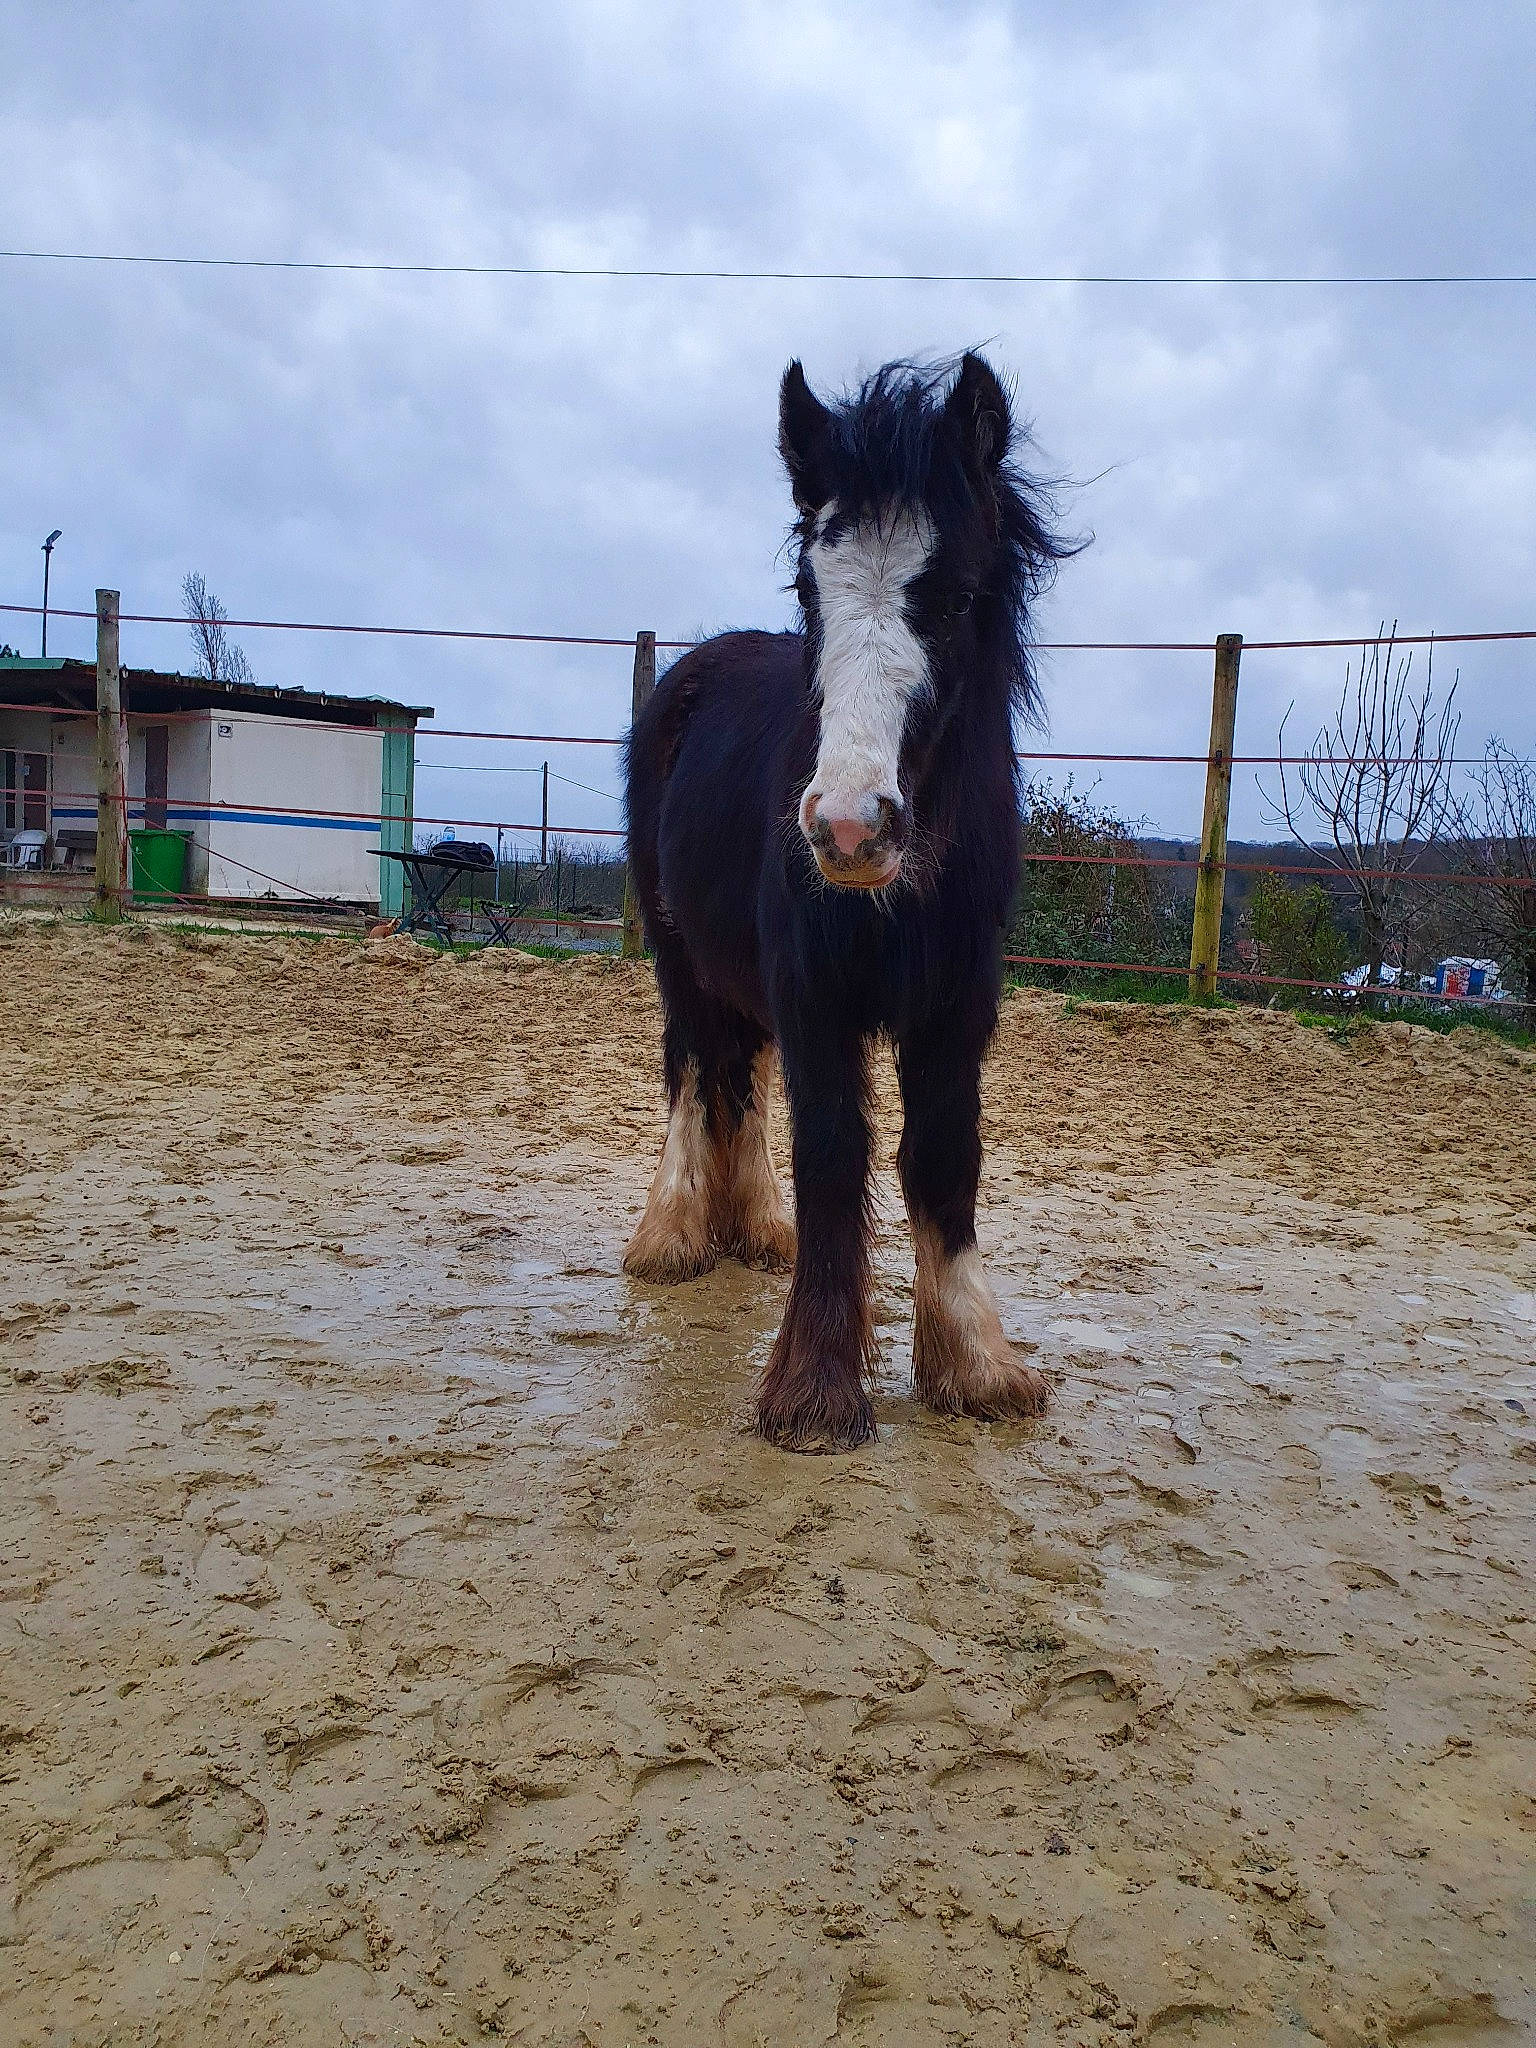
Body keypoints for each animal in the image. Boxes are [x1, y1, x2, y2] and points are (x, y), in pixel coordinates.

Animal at [622, 352, 1076, 1452]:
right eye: (808, 587)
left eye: (957, 592)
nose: (847, 826)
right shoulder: (817, 994)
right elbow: (835, 1152)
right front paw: (817, 1389)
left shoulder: (958, 1007)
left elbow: (944, 1155)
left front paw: (975, 1364)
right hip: (676, 953)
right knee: (691, 1066)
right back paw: (673, 1233)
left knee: (738, 1069)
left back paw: (754, 1228)